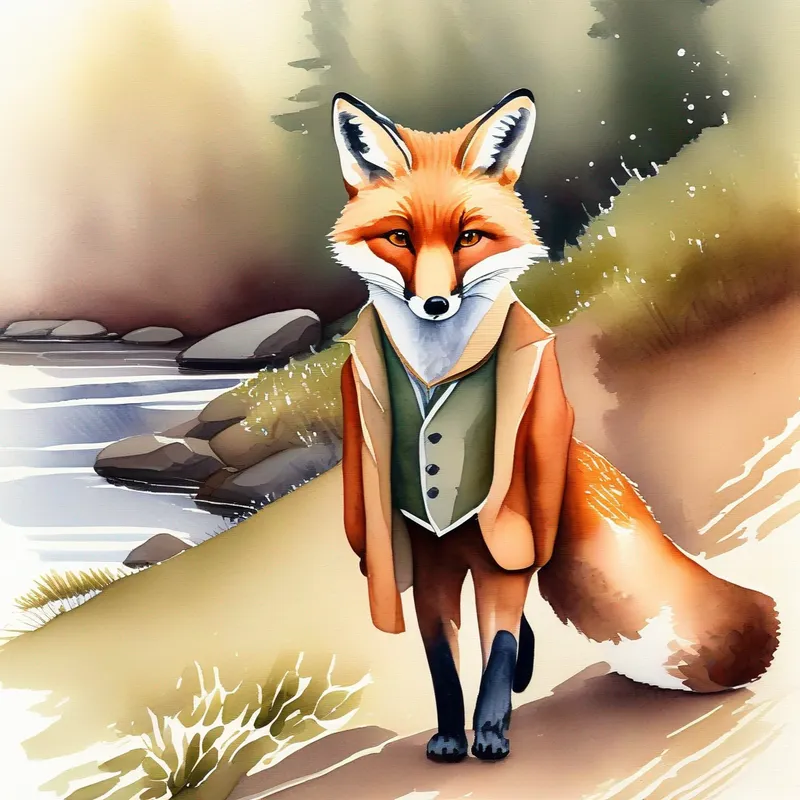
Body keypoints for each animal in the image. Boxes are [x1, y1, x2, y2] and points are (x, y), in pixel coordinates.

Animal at [329, 88, 779, 763]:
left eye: (468, 237)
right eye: (400, 237)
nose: (434, 304)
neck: (438, 369)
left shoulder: (506, 546)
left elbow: (497, 646)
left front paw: (490, 730)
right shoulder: (427, 563)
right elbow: (442, 663)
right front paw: (450, 734)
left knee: (515, 622)